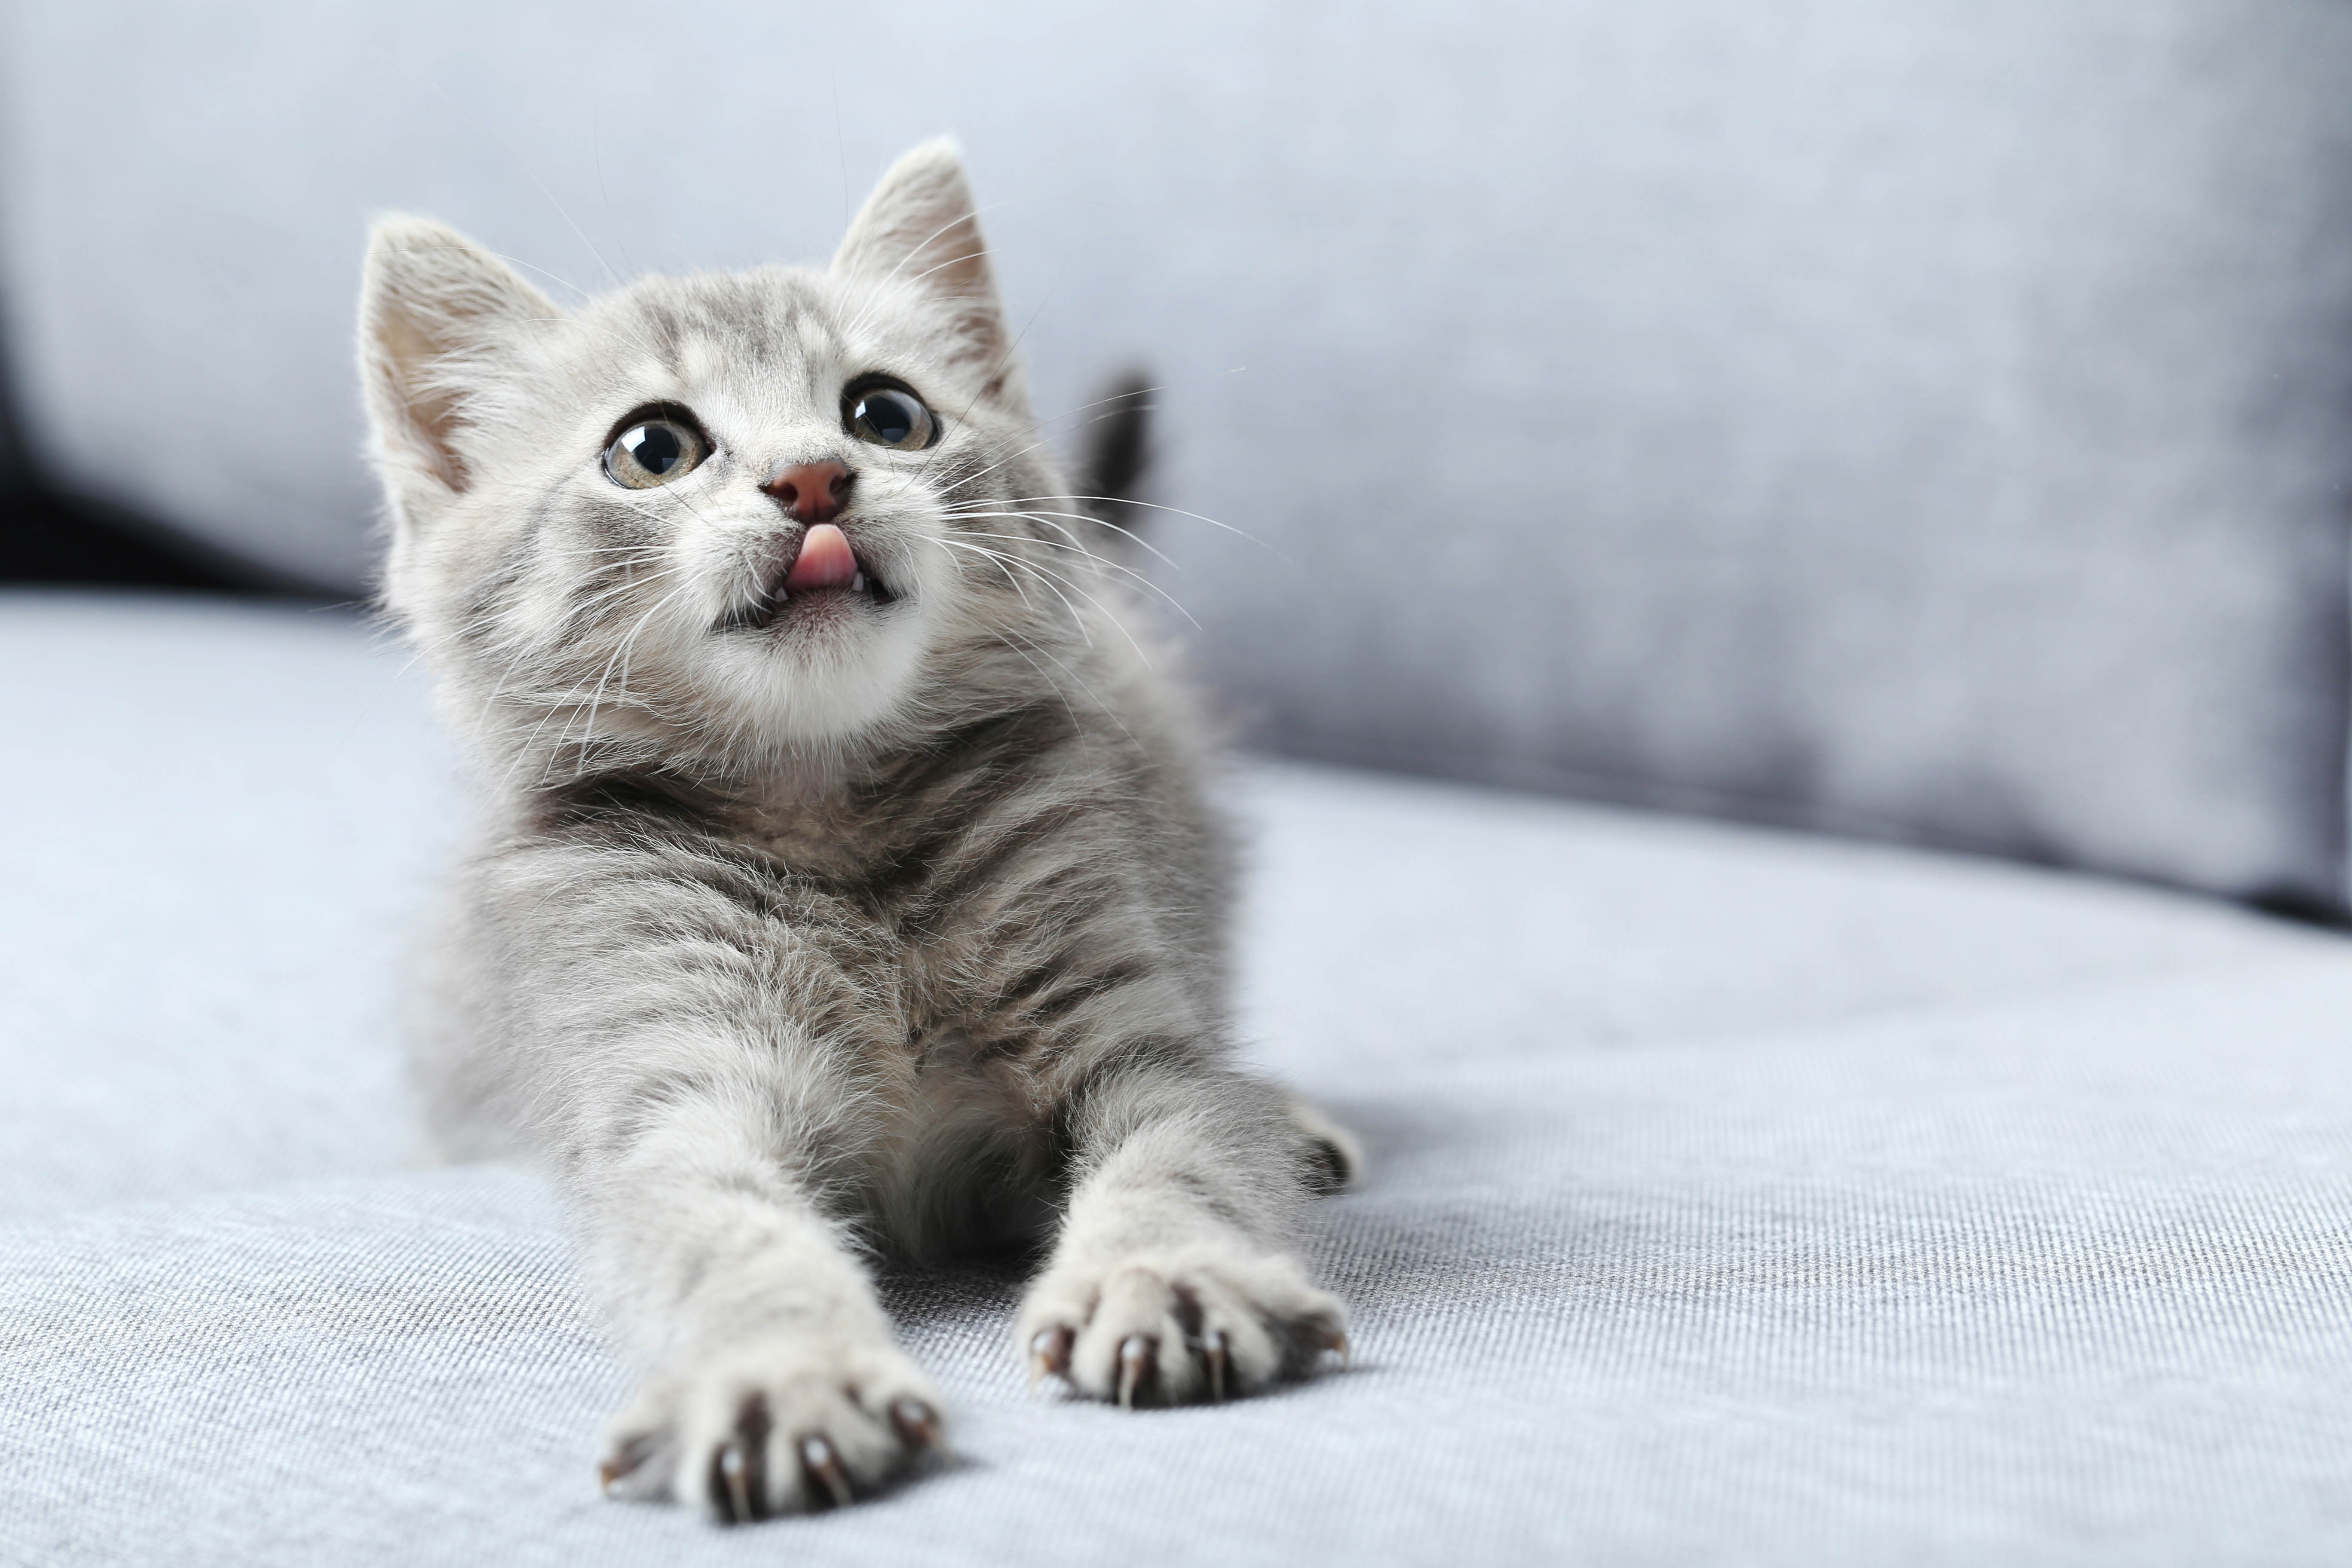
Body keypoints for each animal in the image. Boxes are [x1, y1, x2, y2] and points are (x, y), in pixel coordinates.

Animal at [362, 144, 1364, 1523]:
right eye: (652, 447)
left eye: (886, 415)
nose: (813, 477)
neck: (833, 824)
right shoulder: (676, 1083)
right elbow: (724, 1230)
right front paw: (781, 1370)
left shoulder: (1132, 1034)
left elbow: (1189, 1150)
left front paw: (1165, 1274)